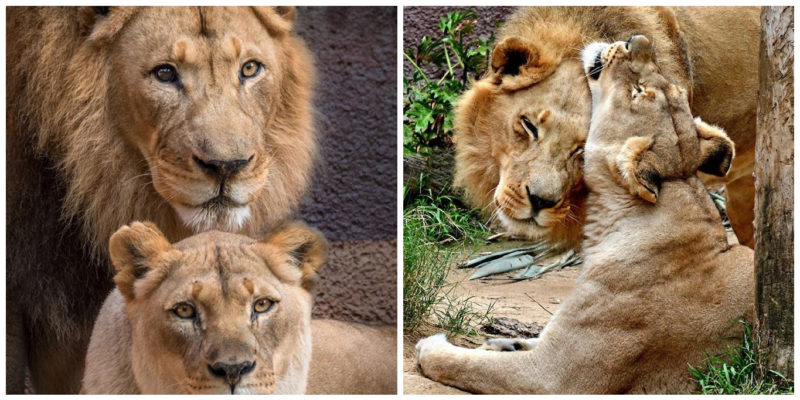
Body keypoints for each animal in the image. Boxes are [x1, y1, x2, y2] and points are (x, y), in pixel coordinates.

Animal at [416, 35, 752, 394]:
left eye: (637, 92)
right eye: (667, 87)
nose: (637, 40)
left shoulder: (555, 377)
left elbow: (470, 365)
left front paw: (432, 347)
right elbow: (531, 339)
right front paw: (504, 343)